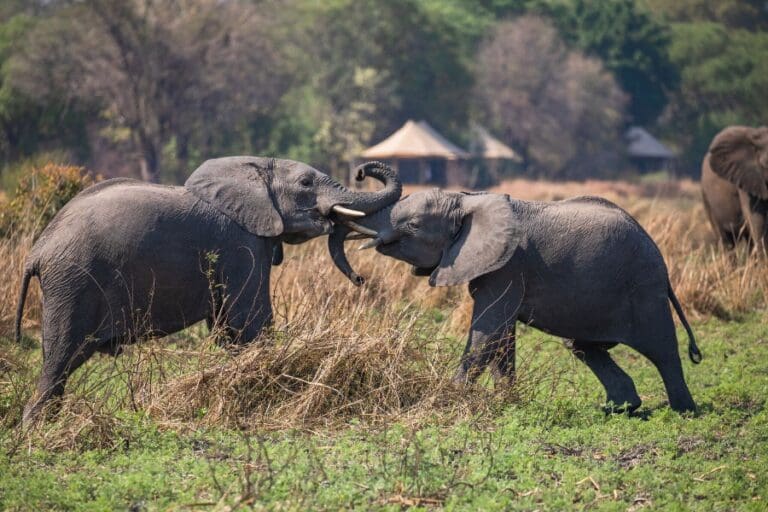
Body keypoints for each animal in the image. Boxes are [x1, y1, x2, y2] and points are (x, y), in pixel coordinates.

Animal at [15, 157, 401, 424]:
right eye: (306, 182)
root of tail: (37, 251)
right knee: (61, 358)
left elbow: (228, 325)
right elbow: (250, 319)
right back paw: (38, 428)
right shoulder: (240, 242)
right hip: (73, 283)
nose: (361, 281)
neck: (255, 170)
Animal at [330, 189, 702, 413]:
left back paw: (684, 410)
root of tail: (661, 262)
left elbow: (487, 331)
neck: (466, 199)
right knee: (583, 347)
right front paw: (507, 401)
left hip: (643, 288)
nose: (359, 279)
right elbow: (501, 337)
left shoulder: (507, 266)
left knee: (662, 348)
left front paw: (447, 398)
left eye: (414, 224)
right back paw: (619, 408)